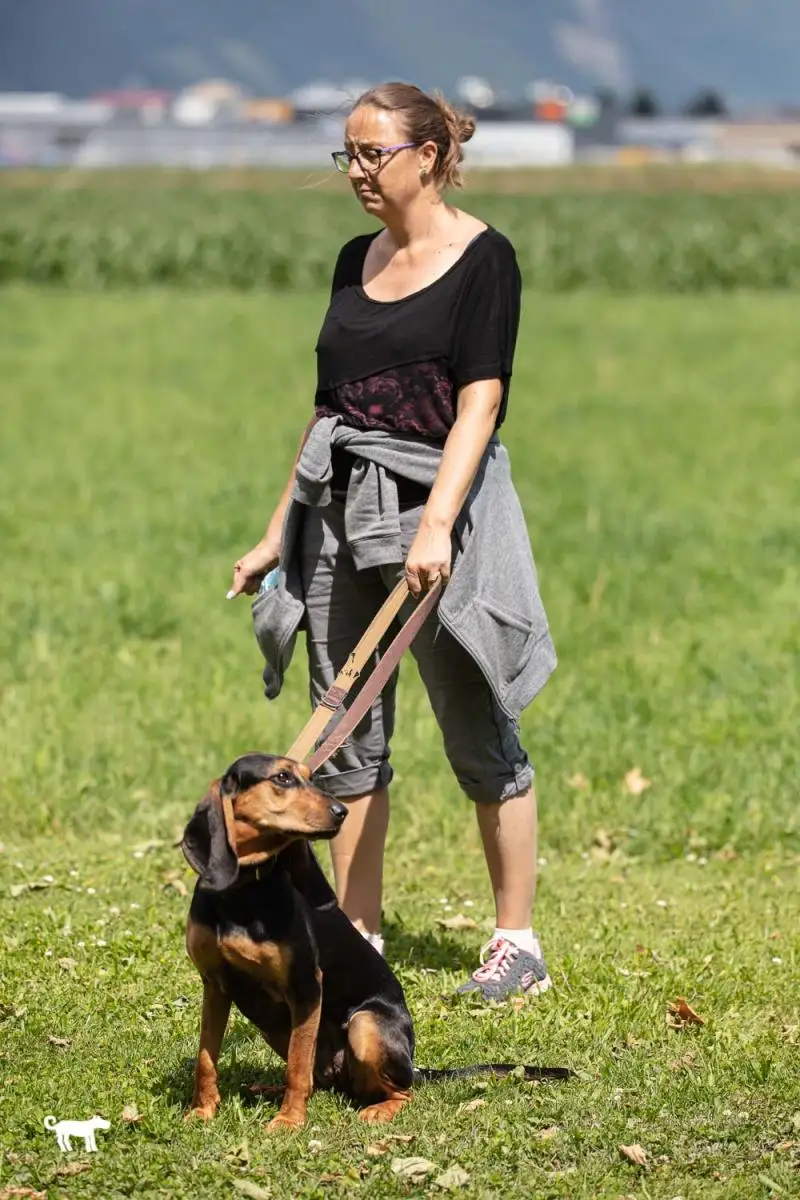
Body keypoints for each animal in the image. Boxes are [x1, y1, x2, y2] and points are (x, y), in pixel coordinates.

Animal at [180, 752, 570, 1131]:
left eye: (311, 776)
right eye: (283, 778)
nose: (342, 811)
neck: (242, 891)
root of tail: (413, 1064)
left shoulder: (305, 987)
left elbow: (297, 1067)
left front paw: (288, 1121)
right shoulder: (215, 986)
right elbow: (206, 1059)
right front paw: (202, 1111)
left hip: (364, 1024)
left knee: (396, 1091)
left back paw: (376, 1110)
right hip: (275, 1027)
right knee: (320, 1079)